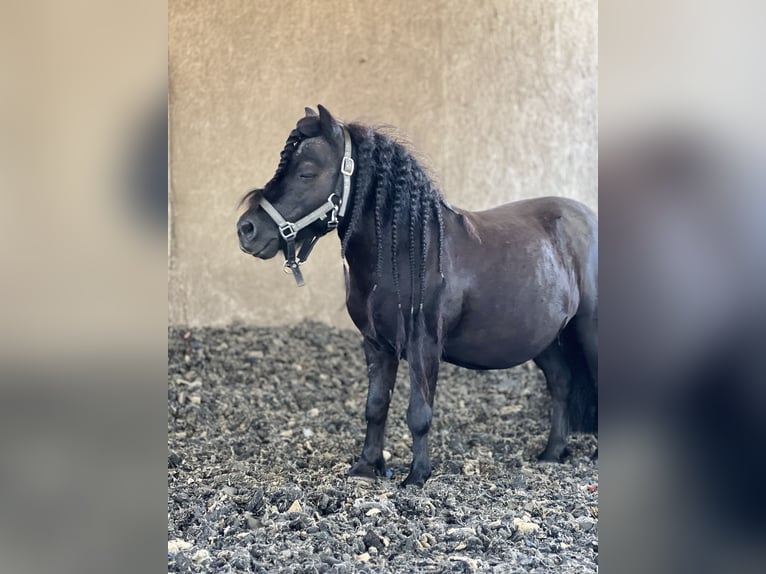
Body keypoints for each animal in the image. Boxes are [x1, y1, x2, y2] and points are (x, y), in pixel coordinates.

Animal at [237, 107, 596, 486]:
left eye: (306, 172)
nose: (247, 230)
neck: (408, 252)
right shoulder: (376, 345)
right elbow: (376, 407)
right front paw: (366, 468)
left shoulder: (424, 344)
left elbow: (419, 412)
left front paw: (417, 476)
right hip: (548, 339)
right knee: (561, 383)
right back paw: (552, 453)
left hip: (588, 330)